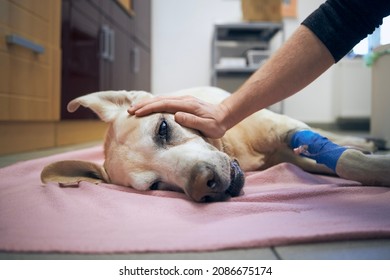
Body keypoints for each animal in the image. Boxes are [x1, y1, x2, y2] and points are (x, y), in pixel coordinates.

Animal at [41, 87, 388, 201]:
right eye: (155, 185)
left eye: (163, 128)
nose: (203, 184)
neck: (234, 149)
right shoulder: (295, 155)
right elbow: (340, 162)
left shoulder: (285, 129)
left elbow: (348, 160)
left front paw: (376, 163)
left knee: (331, 136)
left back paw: (365, 139)